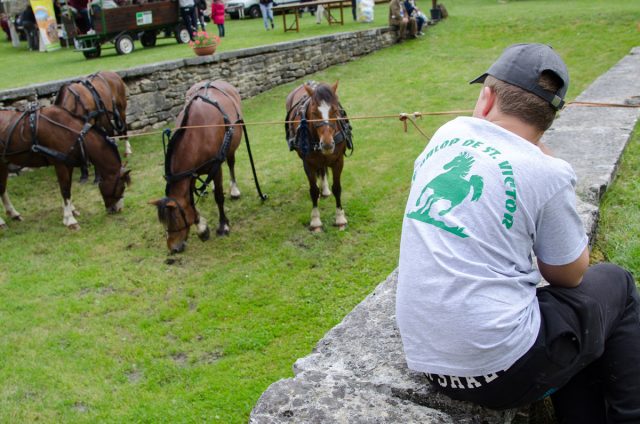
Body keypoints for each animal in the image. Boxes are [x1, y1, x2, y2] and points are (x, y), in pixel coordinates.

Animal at [0, 103, 131, 229]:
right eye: (122, 187)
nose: (118, 209)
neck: (70, 133)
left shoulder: (68, 164)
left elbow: (68, 187)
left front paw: (71, 210)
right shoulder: (60, 165)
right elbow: (65, 190)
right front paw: (70, 220)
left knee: (2, 189)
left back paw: (13, 213)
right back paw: (2, 222)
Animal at [151, 80, 246, 253]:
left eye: (175, 218)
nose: (173, 248)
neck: (196, 135)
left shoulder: (216, 167)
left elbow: (219, 197)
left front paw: (223, 225)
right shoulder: (191, 173)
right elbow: (190, 199)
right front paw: (201, 227)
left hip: (231, 148)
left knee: (231, 164)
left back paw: (234, 189)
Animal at [286, 79, 352, 232]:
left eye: (335, 110)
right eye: (314, 112)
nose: (327, 144)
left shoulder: (338, 161)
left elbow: (337, 188)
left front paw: (340, 218)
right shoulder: (308, 164)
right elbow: (313, 191)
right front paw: (315, 221)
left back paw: (326, 189)